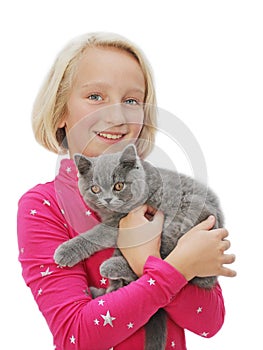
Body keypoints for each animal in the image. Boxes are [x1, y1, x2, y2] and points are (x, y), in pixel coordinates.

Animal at [54, 144, 224, 348]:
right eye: (95, 189)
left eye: (119, 186)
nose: (107, 199)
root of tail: (211, 278)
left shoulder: (121, 222)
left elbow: (96, 234)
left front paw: (66, 251)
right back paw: (103, 288)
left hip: (183, 218)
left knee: (161, 261)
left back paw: (110, 267)